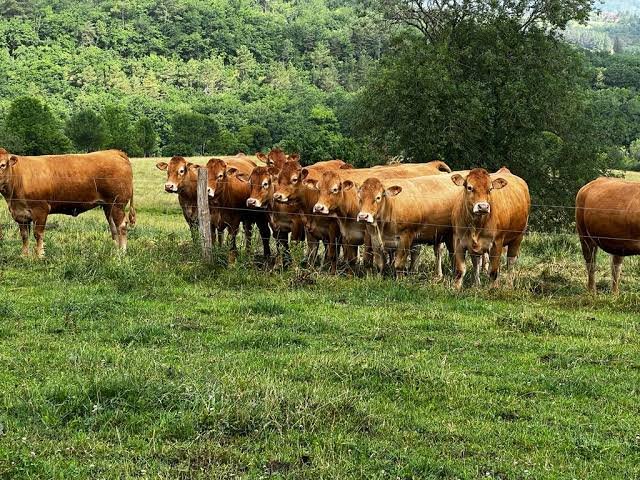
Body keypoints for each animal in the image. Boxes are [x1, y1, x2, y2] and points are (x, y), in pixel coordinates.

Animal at [0, 148, 135, 256]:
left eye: (2, 165)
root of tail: (114, 152)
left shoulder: (41, 210)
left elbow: (38, 234)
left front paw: (39, 256)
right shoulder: (21, 214)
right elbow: (24, 236)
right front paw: (24, 256)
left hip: (117, 204)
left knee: (121, 226)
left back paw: (122, 251)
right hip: (108, 206)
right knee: (113, 227)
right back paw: (115, 250)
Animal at [305, 161, 454, 273]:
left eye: (335, 189)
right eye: (318, 189)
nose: (318, 208)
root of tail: (432, 164)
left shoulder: (367, 234)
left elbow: (367, 259)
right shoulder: (347, 234)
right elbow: (351, 258)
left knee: (437, 250)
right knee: (416, 250)